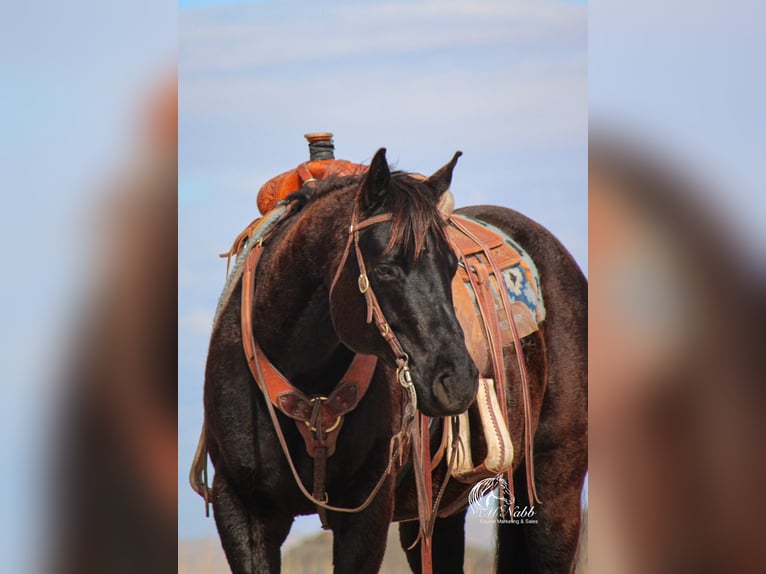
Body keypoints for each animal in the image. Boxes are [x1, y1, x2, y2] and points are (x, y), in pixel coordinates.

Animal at [204, 150, 588, 574]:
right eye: (386, 268)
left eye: (451, 265)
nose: (457, 381)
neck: (309, 385)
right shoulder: (242, 510)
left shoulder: (366, 514)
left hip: (556, 492)